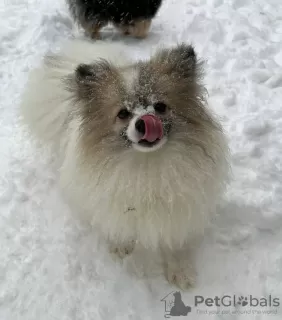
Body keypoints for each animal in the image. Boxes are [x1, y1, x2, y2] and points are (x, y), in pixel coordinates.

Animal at [20, 38, 230, 288]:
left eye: (160, 106)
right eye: (122, 113)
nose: (144, 122)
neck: (147, 165)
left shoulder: (178, 211)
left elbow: (175, 242)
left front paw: (180, 271)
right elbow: (118, 225)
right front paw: (121, 247)